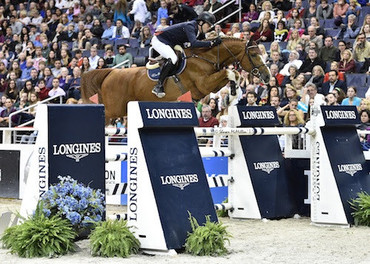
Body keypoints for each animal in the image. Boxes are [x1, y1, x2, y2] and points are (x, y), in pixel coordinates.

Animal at [81, 38, 270, 124]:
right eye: (254, 55)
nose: (267, 76)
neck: (207, 57)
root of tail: (111, 72)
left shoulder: (208, 86)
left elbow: (233, 75)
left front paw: (230, 97)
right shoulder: (203, 84)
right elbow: (230, 72)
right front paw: (231, 96)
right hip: (113, 110)